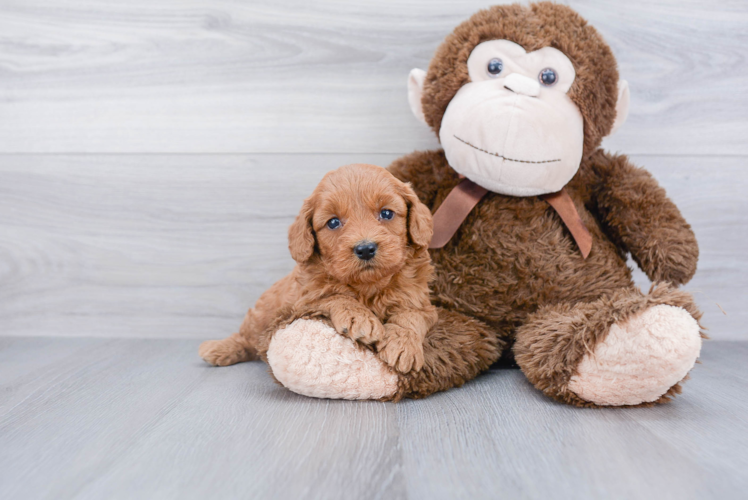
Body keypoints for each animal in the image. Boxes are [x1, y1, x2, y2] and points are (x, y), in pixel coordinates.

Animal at [199, 166, 438, 374]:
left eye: (386, 213)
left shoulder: (422, 303)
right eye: (333, 222)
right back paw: (218, 349)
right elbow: (335, 296)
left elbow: (411, 316)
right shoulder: (304, 301)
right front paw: (359, 317)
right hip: (260, 316)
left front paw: (403, 344)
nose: (365, 249)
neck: (368, 286)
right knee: (247, 338)